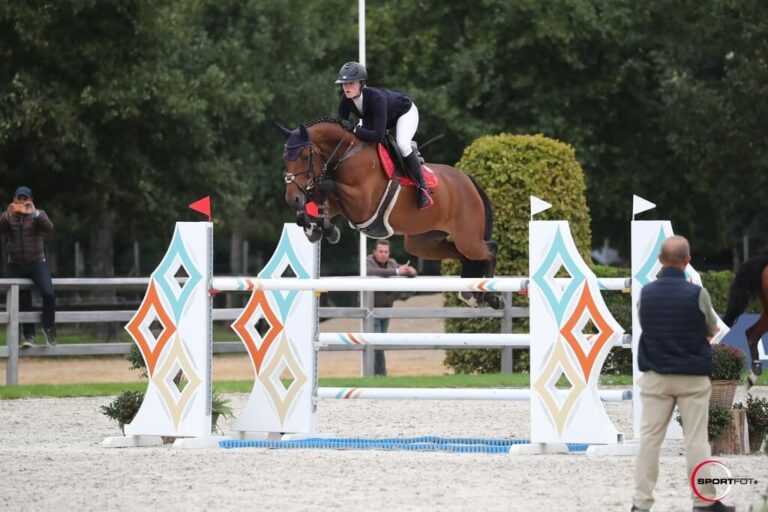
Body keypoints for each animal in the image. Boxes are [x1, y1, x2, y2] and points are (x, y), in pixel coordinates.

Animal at [276, 117, 504, 308]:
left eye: (305, 156)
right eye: (285, 158)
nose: (292, 199)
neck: (347, 153)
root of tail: (468, 180)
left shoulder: (363, 204)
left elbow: (327, 186)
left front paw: (326, 229)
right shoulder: (340, 204)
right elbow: (317, 205)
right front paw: (319, 229)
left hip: (467, 237)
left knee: (490, 248)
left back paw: (492, 297)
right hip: (422, 242)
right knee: (463, 255)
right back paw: (472, 295)